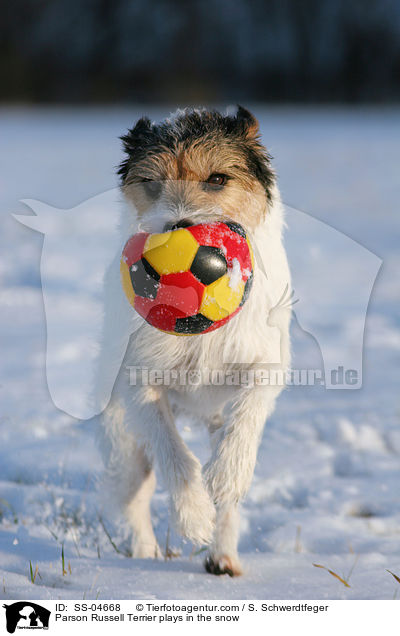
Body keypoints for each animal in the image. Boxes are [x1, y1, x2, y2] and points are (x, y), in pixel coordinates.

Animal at [97, 105, 290, 576]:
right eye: (152, 180)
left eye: (218, 179)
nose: (179, 226)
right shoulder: (142, 385)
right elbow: (175, 455)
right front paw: (193, 516)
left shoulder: (267, 362)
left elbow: (249, 413)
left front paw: (227, 475)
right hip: (124, 442)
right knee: (135, 495)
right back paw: (146, 551)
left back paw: (223, 554)